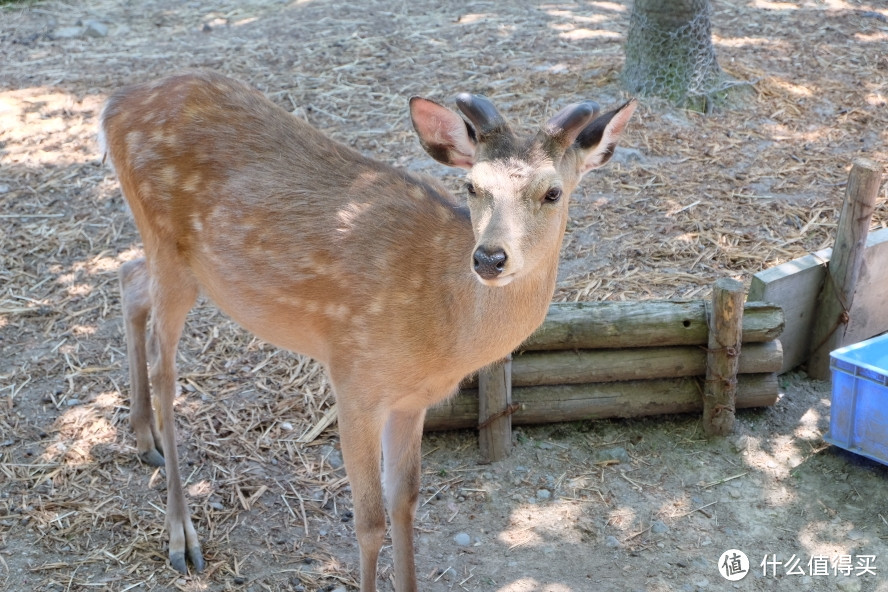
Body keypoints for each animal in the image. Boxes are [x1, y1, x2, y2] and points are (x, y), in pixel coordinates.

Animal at [100, 70, 636, 592]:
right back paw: (180, 537)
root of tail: (114, 105)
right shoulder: (355, 381)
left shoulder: (411, 400)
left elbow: (406, 501)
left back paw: (144, 439)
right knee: (165, 369)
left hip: (179, 264)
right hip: (167, 246)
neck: (443, 335)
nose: (489, 258)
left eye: (553, 192)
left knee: (128, 277)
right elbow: (369, 522)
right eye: (472, 186)